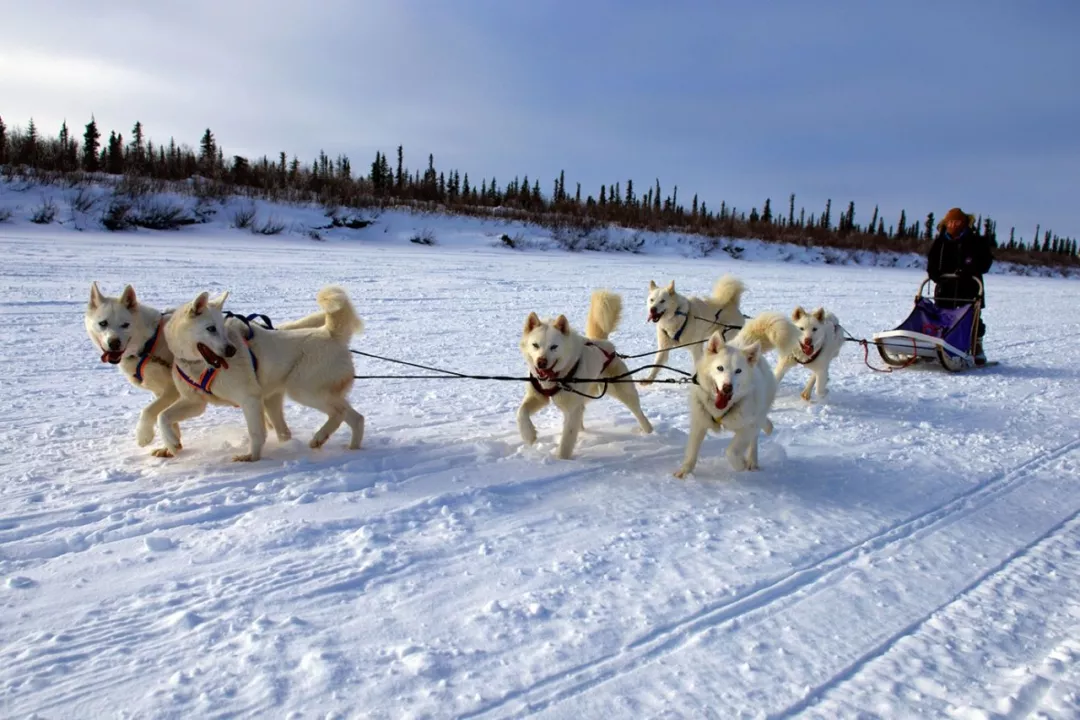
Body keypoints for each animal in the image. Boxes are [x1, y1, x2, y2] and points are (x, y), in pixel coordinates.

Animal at [157, 284, 362, 462]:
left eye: (222, 329)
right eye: (211, 328)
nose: (231, 350)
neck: (201, 366)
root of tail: (329, 333)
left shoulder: (250, 399)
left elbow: (256, 433)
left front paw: (252, 457)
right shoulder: (195, 403)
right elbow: (163, 417)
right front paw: (172, 444)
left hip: (302, 391)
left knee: (340, 413)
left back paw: (320, 436)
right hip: (306, 394)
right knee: (356, 417)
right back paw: (352, 448)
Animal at [518, 289, 652, 459]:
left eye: (554, 347)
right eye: (535, 345)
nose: (541, 362)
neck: (556, 377)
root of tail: (604, 343)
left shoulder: (571, 409)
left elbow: (567, 439)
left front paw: (561, 460)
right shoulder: (538, 397)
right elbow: (521, 412)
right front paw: (528, 435)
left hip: (621, 390)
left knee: (637, 411)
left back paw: (648, 430)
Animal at [673, 310, 803, 474]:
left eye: (738, 371)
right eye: (720, 368)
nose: (727, 387)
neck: (722, 409)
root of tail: (743, 343)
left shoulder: (748, 426)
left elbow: (732, 451)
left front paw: (740, 464)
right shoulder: (699, 422)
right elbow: (692, 449)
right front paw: (684, 472)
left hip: (758, 411)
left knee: (755, 436)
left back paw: (753, 459)